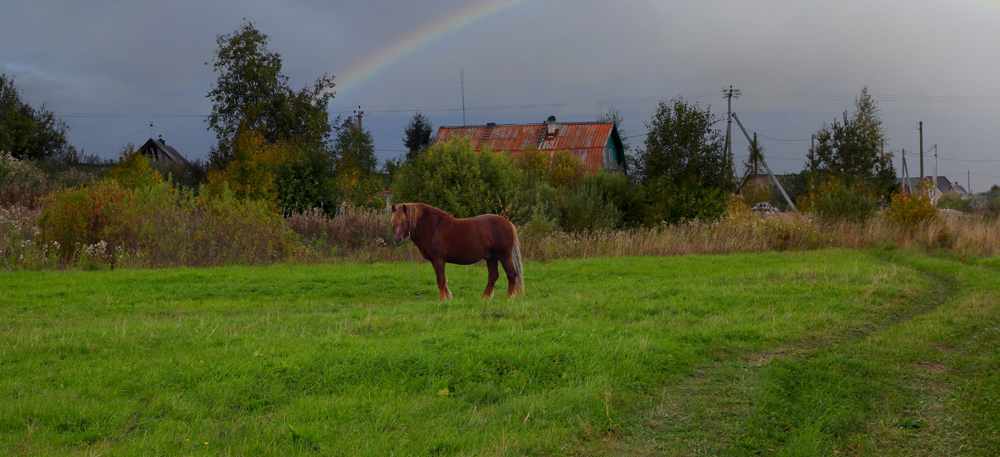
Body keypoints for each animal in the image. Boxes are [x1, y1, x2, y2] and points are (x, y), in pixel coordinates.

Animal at [392, 203, 528, 300]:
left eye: (404, 221)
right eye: (393, 222)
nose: (397, 240)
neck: (434, 228)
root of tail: (508, 223)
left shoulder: (439, 260)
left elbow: (441, 280)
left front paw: (443, 299)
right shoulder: (435, 261)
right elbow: (442, 279)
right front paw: (448, 296)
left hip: (504, 255)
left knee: (512, 274)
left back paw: (509, 296)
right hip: (491, 257)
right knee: (493, 276)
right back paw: (485, 296)